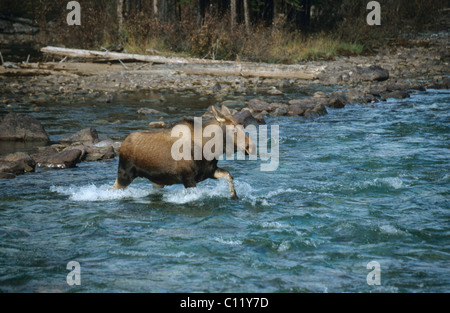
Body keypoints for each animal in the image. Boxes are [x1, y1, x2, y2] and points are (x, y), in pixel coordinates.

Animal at [112, 105, 255, 197]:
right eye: (233, 130)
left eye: (243, 125)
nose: (251, 146)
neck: (211, 150)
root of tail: (124, 143)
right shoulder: (188, 178)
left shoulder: (209, 171)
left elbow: (229, 175)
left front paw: (234, 196)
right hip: (125, 174)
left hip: (157, 181)